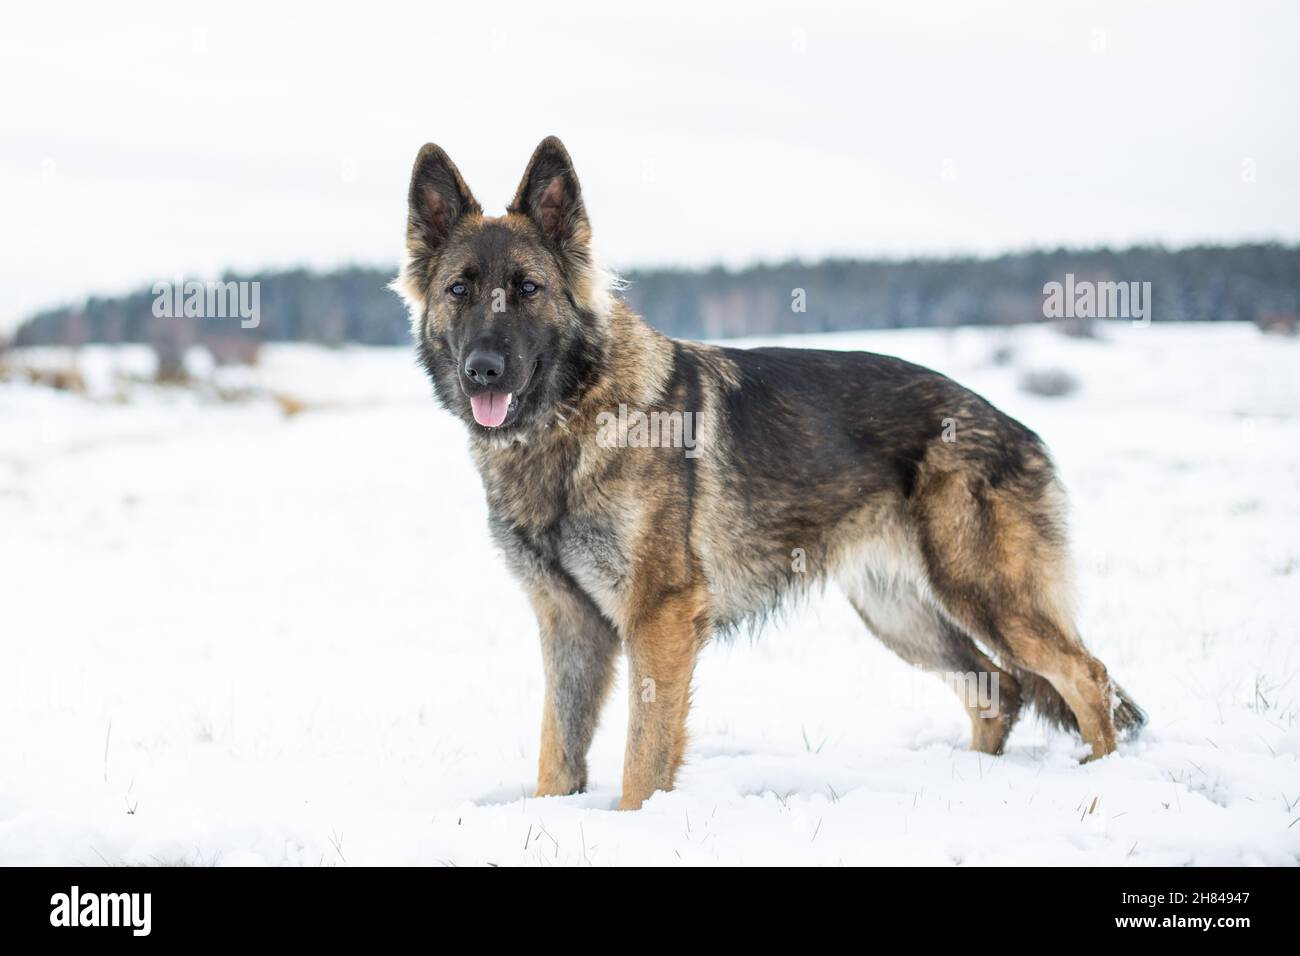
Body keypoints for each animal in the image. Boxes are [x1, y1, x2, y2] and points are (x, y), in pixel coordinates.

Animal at [390, 136, 1144, 806]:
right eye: (459, 290)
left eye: (528, 288)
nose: (482, 369)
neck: (572, 419)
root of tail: (1014, 423)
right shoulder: (569, 623)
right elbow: (558, 747)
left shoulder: (659, 616)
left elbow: (643, 757)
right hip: (900, 613)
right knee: (999, 690)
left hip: (986, 593)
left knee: (1087, 675)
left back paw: (1100, 778)